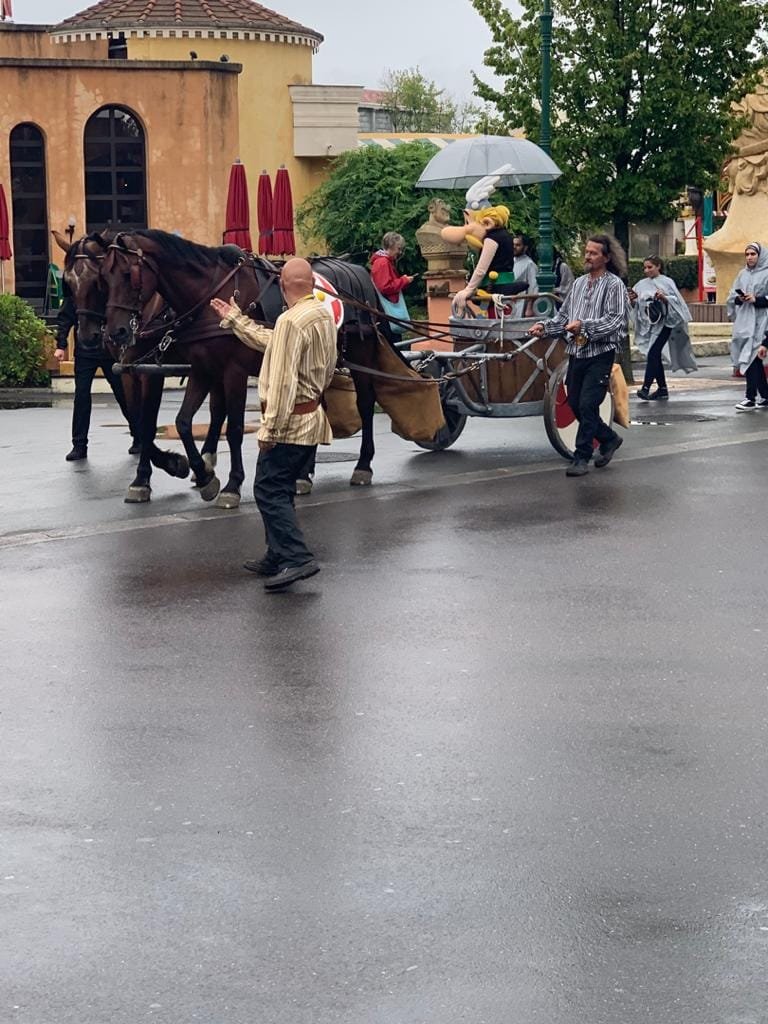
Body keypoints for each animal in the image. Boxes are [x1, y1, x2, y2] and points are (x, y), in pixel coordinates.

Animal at [99, 229, 387, 507]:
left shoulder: (232, 371)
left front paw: (231, 484)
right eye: (105, 278)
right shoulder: (200, 370)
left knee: (364, 404)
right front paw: (201, 474)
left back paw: (362, 465)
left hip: (359, 357)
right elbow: (179, 422)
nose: (115, 332)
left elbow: (234, 428)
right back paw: (303, 474)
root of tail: (360, 271)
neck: (210, 292)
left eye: (128, 275)